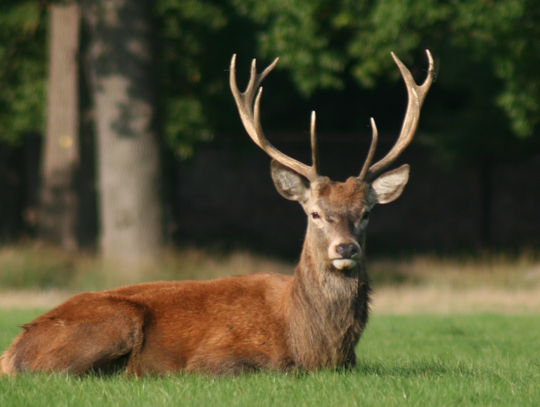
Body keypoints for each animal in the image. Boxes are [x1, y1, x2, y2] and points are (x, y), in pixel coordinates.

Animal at [0, 51, 432, 376]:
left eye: (366, 212)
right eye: (314, 212)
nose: (345, 249)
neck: (313, 345)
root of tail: (13, 348)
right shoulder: (215, 357)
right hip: (115, 321)